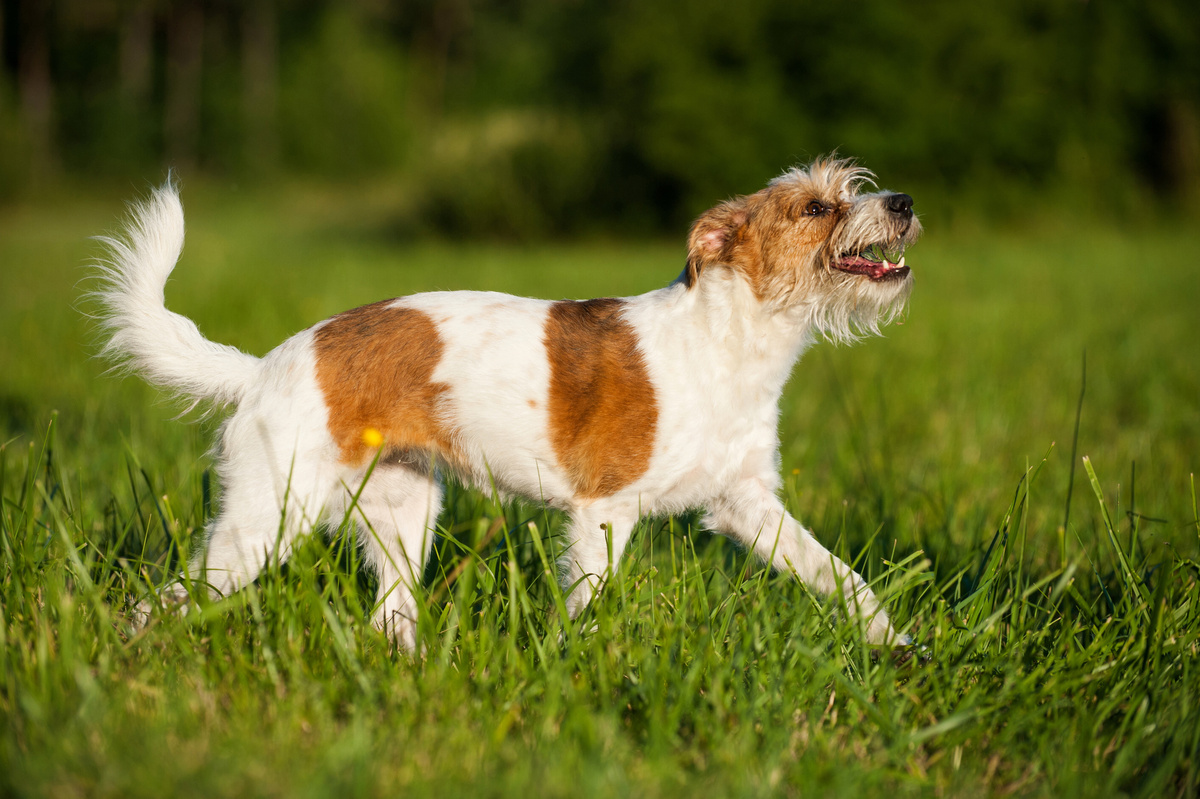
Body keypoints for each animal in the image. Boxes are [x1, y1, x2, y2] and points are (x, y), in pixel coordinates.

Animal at [100, 157, 916, 647]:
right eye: (815, 207)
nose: (903, 201)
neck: (732, 339)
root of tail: (263, 368)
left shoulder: (746, 505)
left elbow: (839, 575)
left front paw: (896, 645)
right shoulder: (604, 512)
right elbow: (586, 600)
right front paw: (569, 662)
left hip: (402, 516)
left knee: (387, 618)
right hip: (264, 522)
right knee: (160, 599)